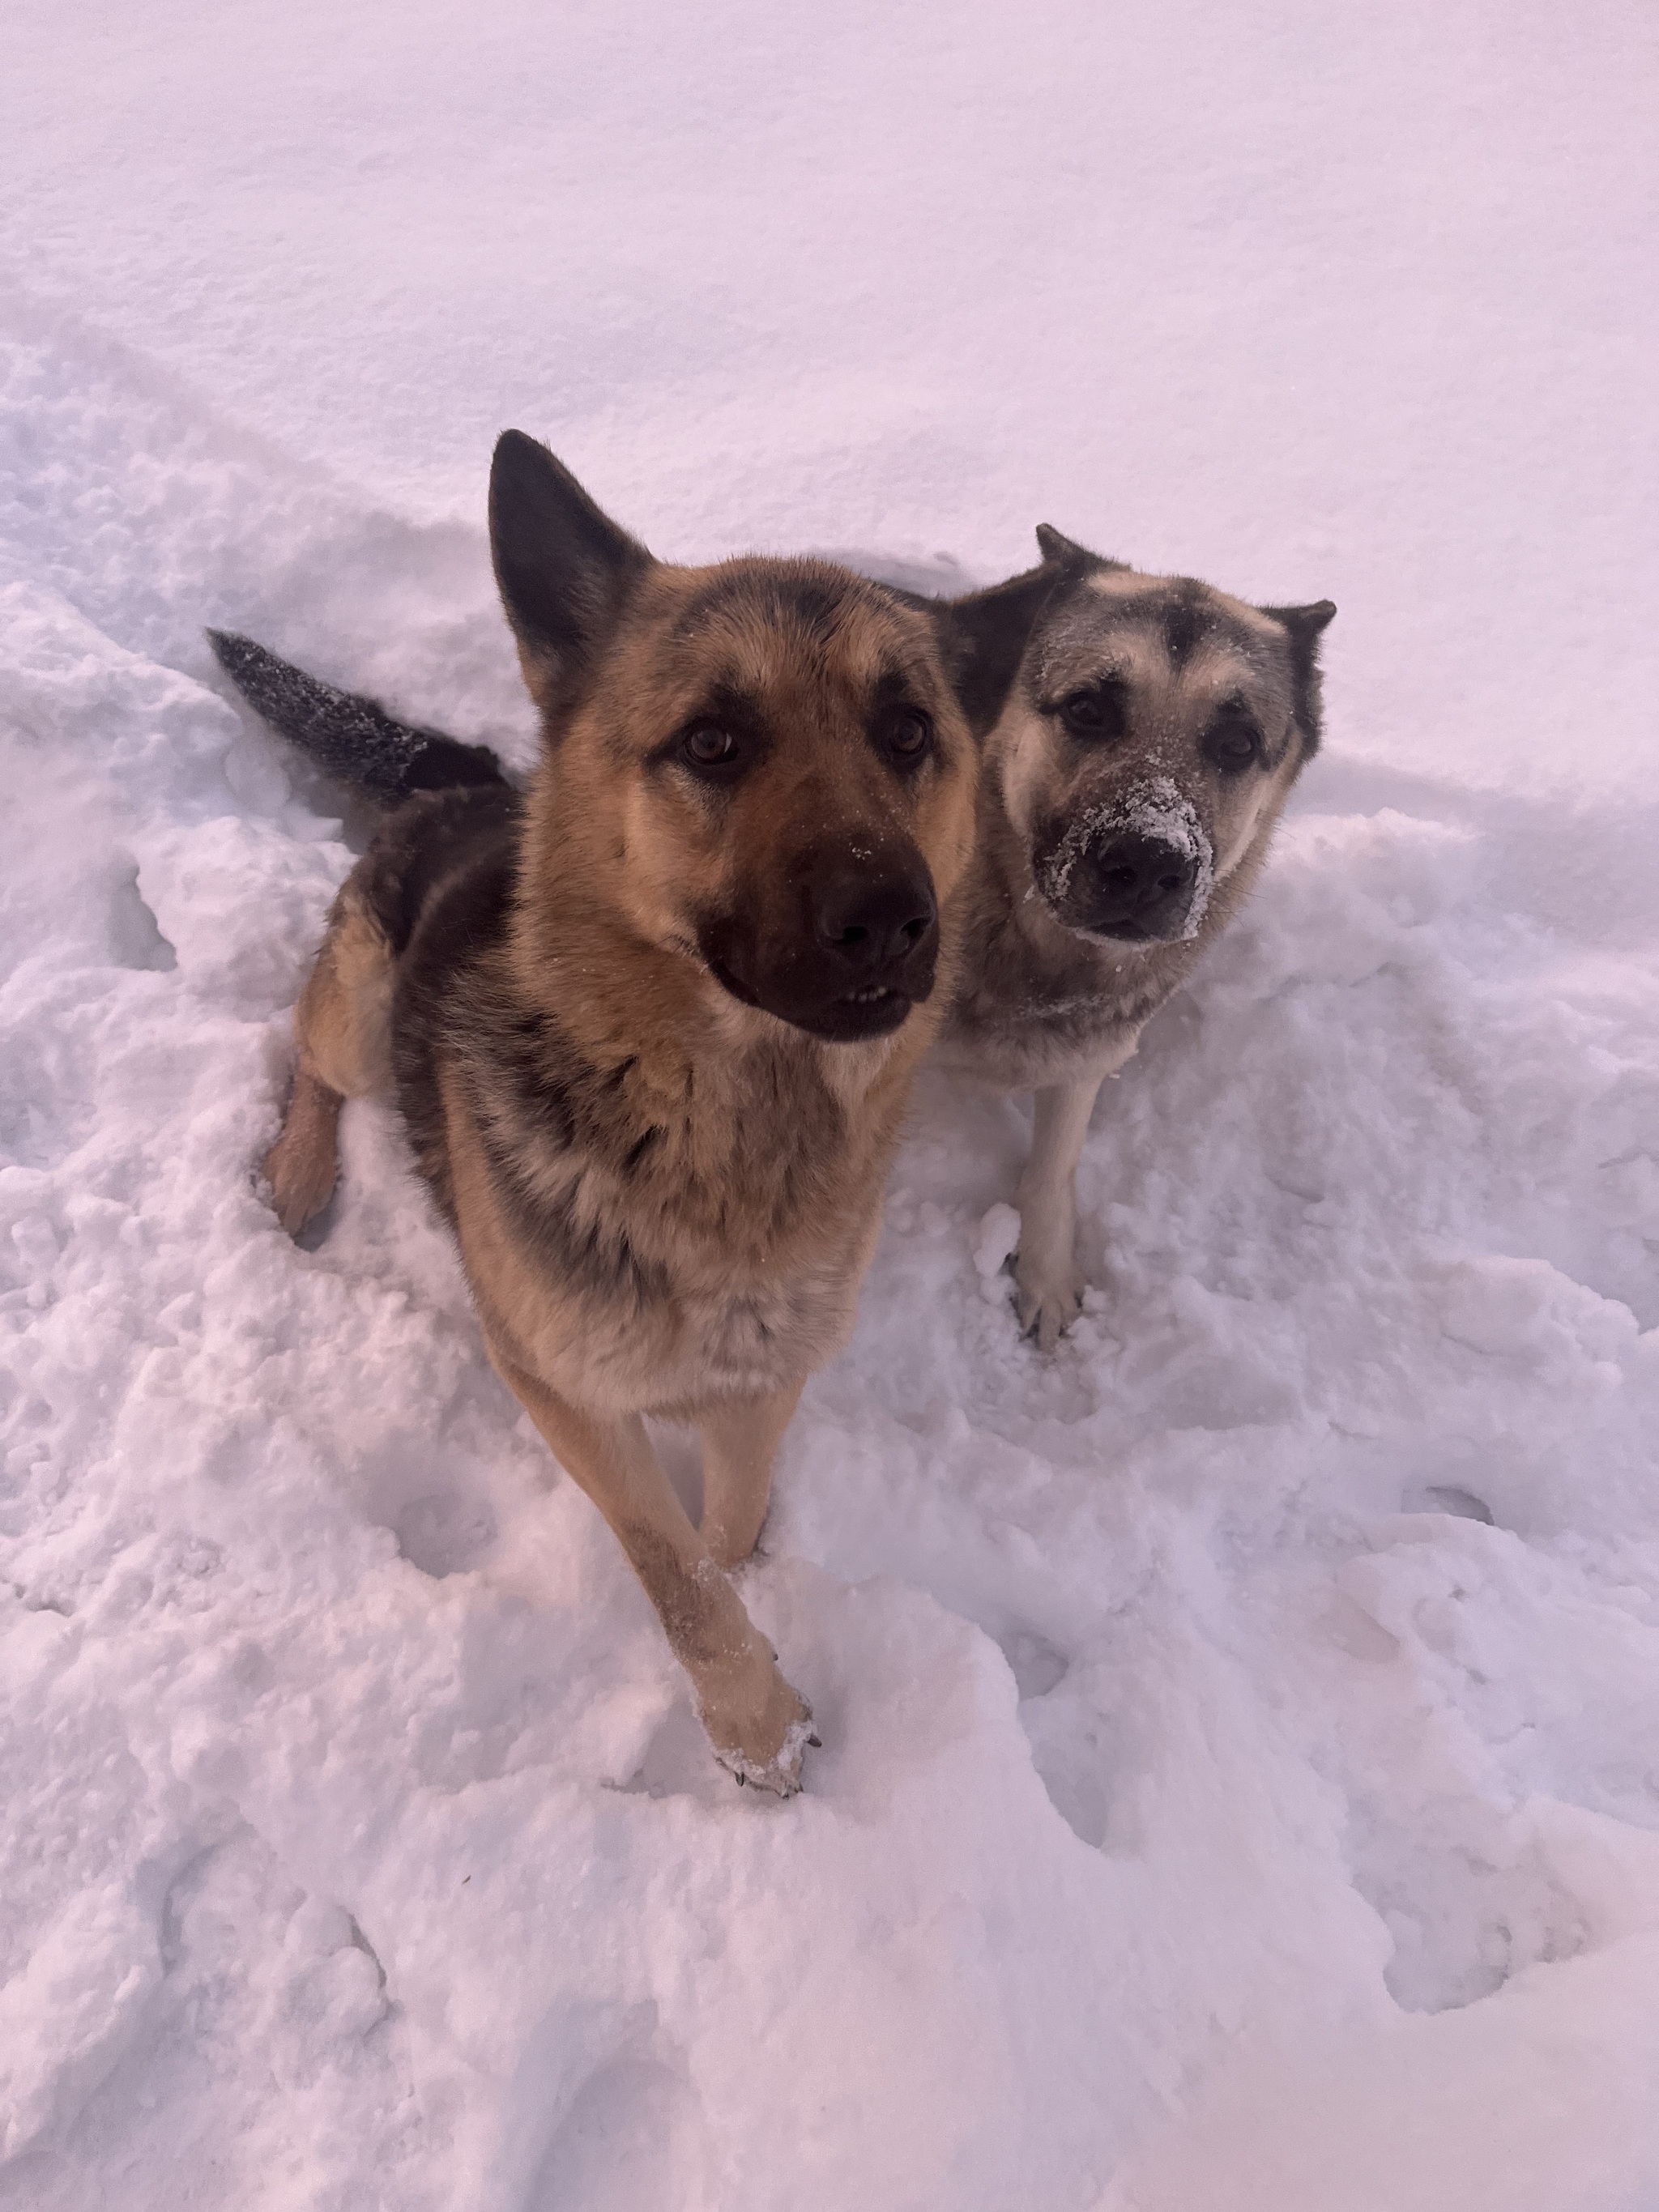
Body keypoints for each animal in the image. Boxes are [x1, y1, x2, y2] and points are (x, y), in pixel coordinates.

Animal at [207, 431, 1039, 1796]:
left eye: (910, 730)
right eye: (713, 740)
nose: (893, 919)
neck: (715, 1127)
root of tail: (479, 781)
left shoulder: (764, 1379)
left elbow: (731, 1529)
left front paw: (757, 1594)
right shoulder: (557, 1385)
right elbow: (673, 1567)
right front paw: (755, 1724)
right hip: (363, 1010)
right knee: (310, 1058)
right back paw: (298, 1172)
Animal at [937, 524, 1336, 1345]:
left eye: (1237, 743)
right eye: (1088, 709)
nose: (1149, 861)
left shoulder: (1086, 1055)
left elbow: (1054, 1168)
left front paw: (1043, 1272)